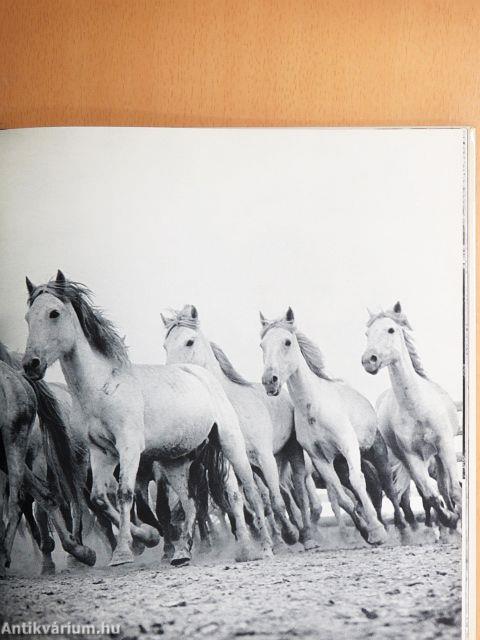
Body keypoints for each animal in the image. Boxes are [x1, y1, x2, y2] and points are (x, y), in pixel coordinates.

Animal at [22, 271, 272, 566]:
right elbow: (99, 498)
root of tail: (202, 375)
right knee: (190, 502)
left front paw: (123, 553)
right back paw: (182, 553)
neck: (105, 387)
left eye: (54, 313)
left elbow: (124, 494)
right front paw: (148, 537)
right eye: (28, 317)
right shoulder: (102, 452)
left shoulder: (129, 447)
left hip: (229, 445)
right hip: (175, 462)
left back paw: (259, 548)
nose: (30, 364)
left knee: (246, 493)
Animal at [162, 304, 318, 549]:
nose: (172, 375)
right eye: (165, 346)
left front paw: (289, 535)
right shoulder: (233, 462)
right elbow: (248, 501)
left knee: (294, 490)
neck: (233, 407)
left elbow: (274, 500)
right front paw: (270, 541)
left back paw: (305, 535)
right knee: (278, 492)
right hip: (261, 466)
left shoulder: (264, 456)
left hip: (288, 453)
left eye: (189, 341)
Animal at [259, 307, 405, 546]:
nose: (270, 380)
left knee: (388, 488)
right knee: (371, 488)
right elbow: (342, 497)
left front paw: (377, 531)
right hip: (342, 464)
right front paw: (365, 529)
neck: (313, 409)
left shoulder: (348, 446)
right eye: (262, 345)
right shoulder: (321, 458)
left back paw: (404, 528)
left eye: (287, 342)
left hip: (376, 452)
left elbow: (358, 483)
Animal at [361, 301, 461, 529]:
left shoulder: (445, 446)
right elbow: (431, 496)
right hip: (411, 460)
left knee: (444, 486)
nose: (369, 360)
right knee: (426, 491)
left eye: (391, 329)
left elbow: (454, 489)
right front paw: (449, 518)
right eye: (367, 333)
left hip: (437, 455)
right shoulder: (413, 457)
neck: (417, 410)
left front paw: (455, 517)